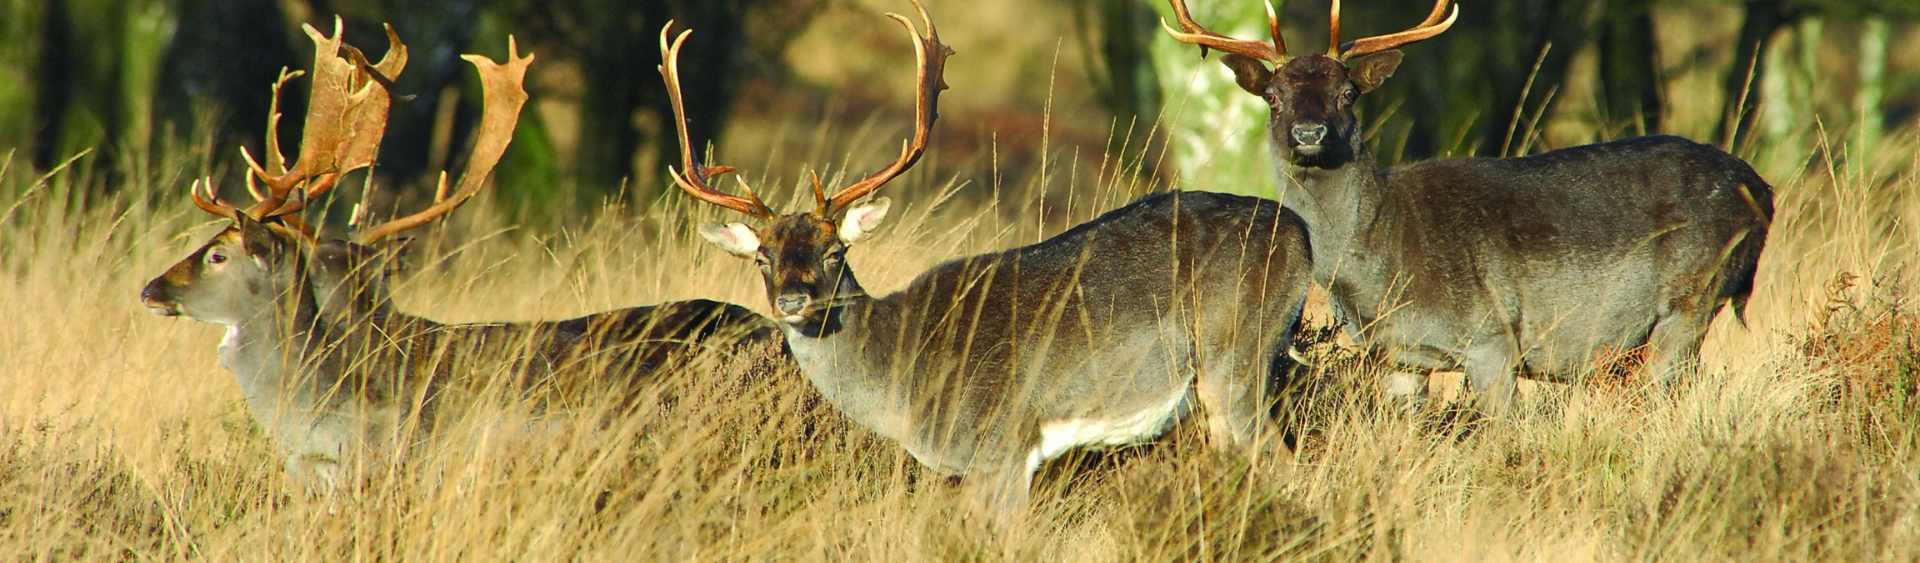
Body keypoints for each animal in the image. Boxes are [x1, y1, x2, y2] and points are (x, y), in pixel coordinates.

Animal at [668, 1, 1313, 526]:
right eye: (762, 257)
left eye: (834, 252)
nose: (793, 299)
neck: (900, 376)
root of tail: (1302, 235)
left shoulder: (1002, 441)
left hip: (1236, 356)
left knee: (1286, 466)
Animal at [1152, 0, 1766, 411]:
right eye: (1273, 96)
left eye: (1347, 93)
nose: (1308, 132)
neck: (1379, 271)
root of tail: (1764, 192)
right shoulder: (1398, 358)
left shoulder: (1493, 336)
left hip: (1691, 299)